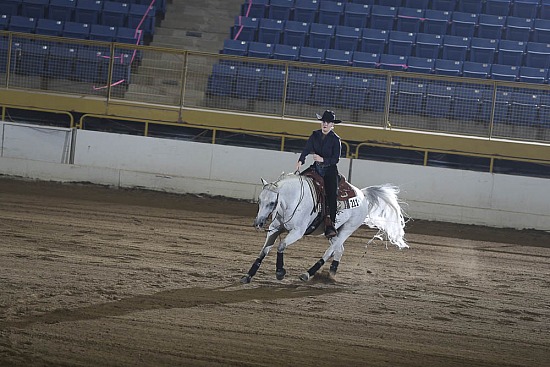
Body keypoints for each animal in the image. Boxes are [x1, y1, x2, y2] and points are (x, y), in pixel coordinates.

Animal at [242, 173, 410, 284]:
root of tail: (362, 194)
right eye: (259, 200)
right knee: (339, 250)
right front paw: (248, 275)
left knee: (331, 251)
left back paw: (307, 273)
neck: (293, 200)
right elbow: (264, 250)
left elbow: (281, 246)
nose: (258, 223)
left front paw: (280, 272)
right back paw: (331, 273)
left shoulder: (297, 232)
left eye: (272, 203)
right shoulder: (275, 229)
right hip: (334, 231)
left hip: (348, 229)